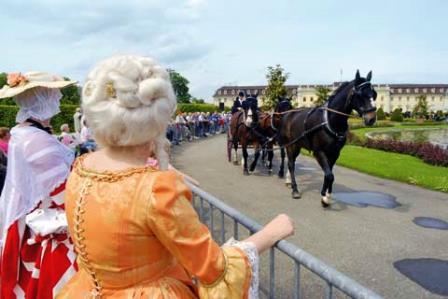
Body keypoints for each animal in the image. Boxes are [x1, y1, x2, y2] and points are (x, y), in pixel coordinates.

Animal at [280, 72, 378, 209]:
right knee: (291, 164)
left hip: (298, 145)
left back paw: (289, 181)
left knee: (291, 162)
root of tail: (288, 113)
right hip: (291, 145)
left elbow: (329, 174)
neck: (330, 120)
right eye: (360, 94)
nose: (371, 118)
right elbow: (329, 175)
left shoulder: (335, 153)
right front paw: (324, 196)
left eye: (374, 94)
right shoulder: (319, 152)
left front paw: (326, 196)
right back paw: (295, 189)